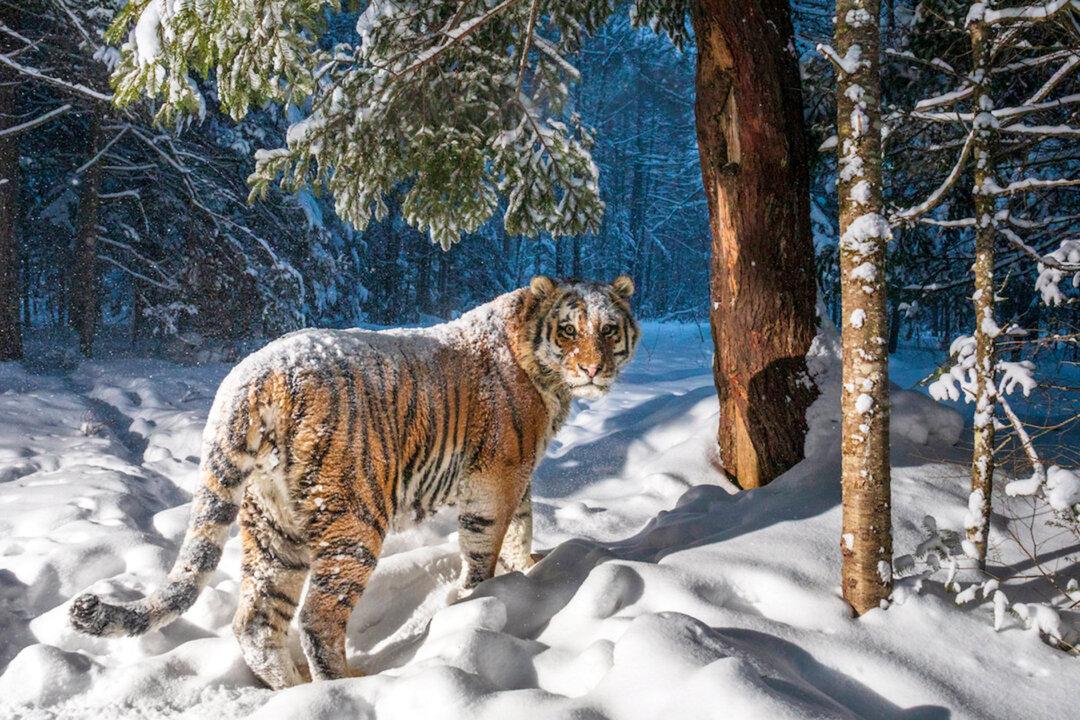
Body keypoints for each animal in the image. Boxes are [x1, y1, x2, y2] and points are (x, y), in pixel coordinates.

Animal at [69, 275, 639, 689]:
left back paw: (294, 691)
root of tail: (251, 377)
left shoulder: (519, 478)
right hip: (354, 519)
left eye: (610, 329)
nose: (593, 369)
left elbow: (522, 526)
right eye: (568, 330)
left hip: (273, 527)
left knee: (256, 621)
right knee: (317, 619)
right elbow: (486, 546)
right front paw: (484, 597)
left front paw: (526, 571)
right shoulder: (496, 479)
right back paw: (344, 688)